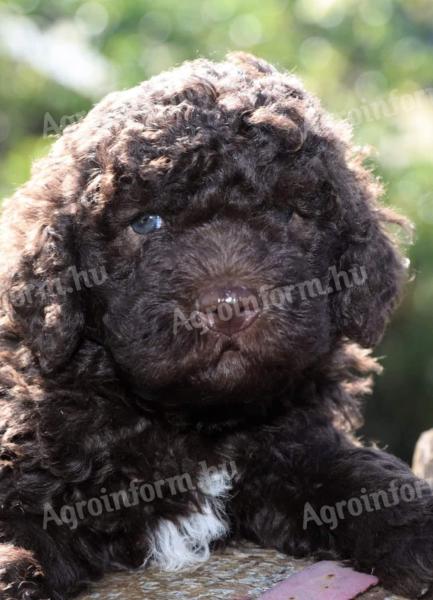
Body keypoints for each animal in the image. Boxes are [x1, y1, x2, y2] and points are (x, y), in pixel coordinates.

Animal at [0, 54, 428, 596]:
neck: (193, 420)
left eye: (287, 213)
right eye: (146, 223)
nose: (229, 305)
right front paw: (13, 573)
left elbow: (357, 473)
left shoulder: (292, 444)